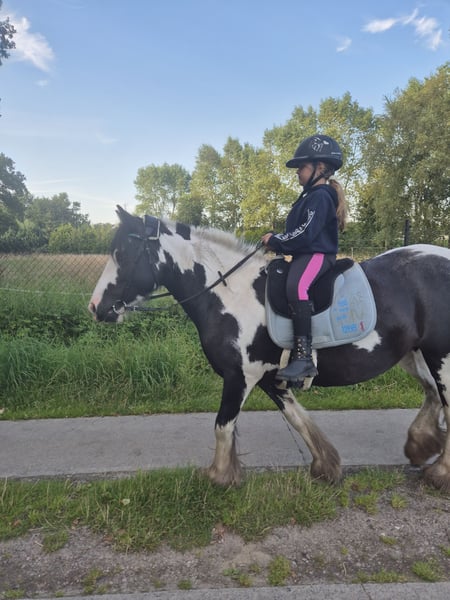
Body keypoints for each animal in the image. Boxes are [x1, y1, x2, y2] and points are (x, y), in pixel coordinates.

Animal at [89, 206, 450, 492]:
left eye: (123, 253)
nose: (96, 307)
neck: (230, 294)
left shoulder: (240, 376)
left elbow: (223, 426)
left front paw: (219, 477)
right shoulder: (268, 378)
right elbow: (298, 419)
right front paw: (326, 467)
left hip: (439, 355)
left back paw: (439, 473)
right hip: (414, 355)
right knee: (433, 394)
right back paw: (420, 445)